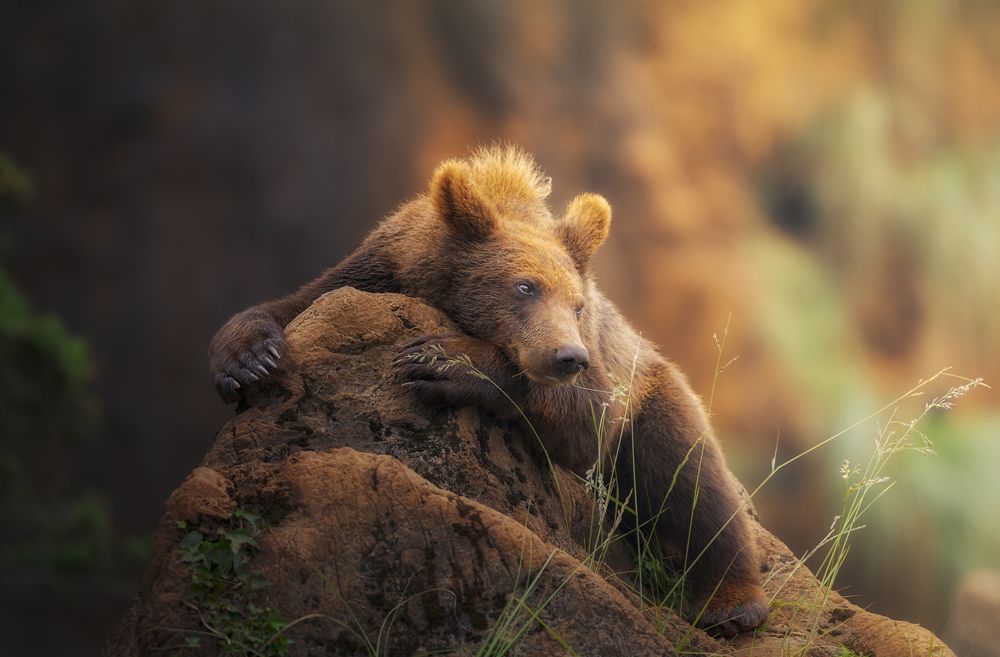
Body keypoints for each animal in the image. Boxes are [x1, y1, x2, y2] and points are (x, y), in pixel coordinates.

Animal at [207, 145, 769, 637]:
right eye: (524, 286)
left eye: (577, 304)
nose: (568, 357)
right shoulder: (373, 271)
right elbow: (293, 305)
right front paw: (248, 359)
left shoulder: (601, 372)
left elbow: (586, 424)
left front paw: (440, 361)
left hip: (652, 389)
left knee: (691, 482)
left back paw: (733, 606)